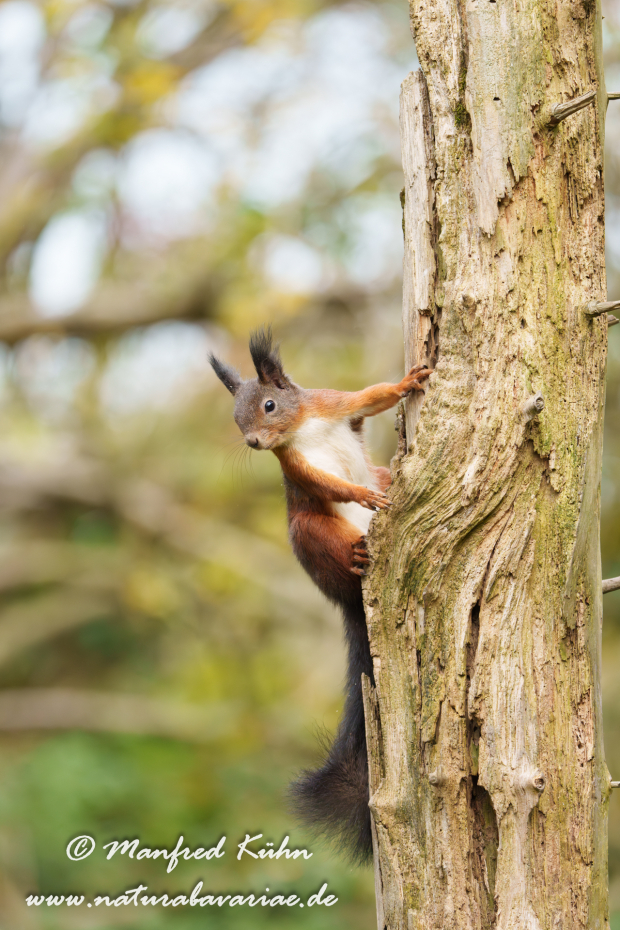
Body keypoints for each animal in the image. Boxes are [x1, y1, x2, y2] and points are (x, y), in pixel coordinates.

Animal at [210, 327, 431, 861]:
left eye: (269, 404)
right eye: (236, 417)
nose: (252, 441)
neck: (302, 428)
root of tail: (348, 600)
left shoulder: (335, 404)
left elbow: (371, 398)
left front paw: (407, 382)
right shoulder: (294, 466)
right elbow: (325, 482)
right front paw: (358, 495)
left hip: (376, 480)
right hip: (311, 531)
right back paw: (356, 556)